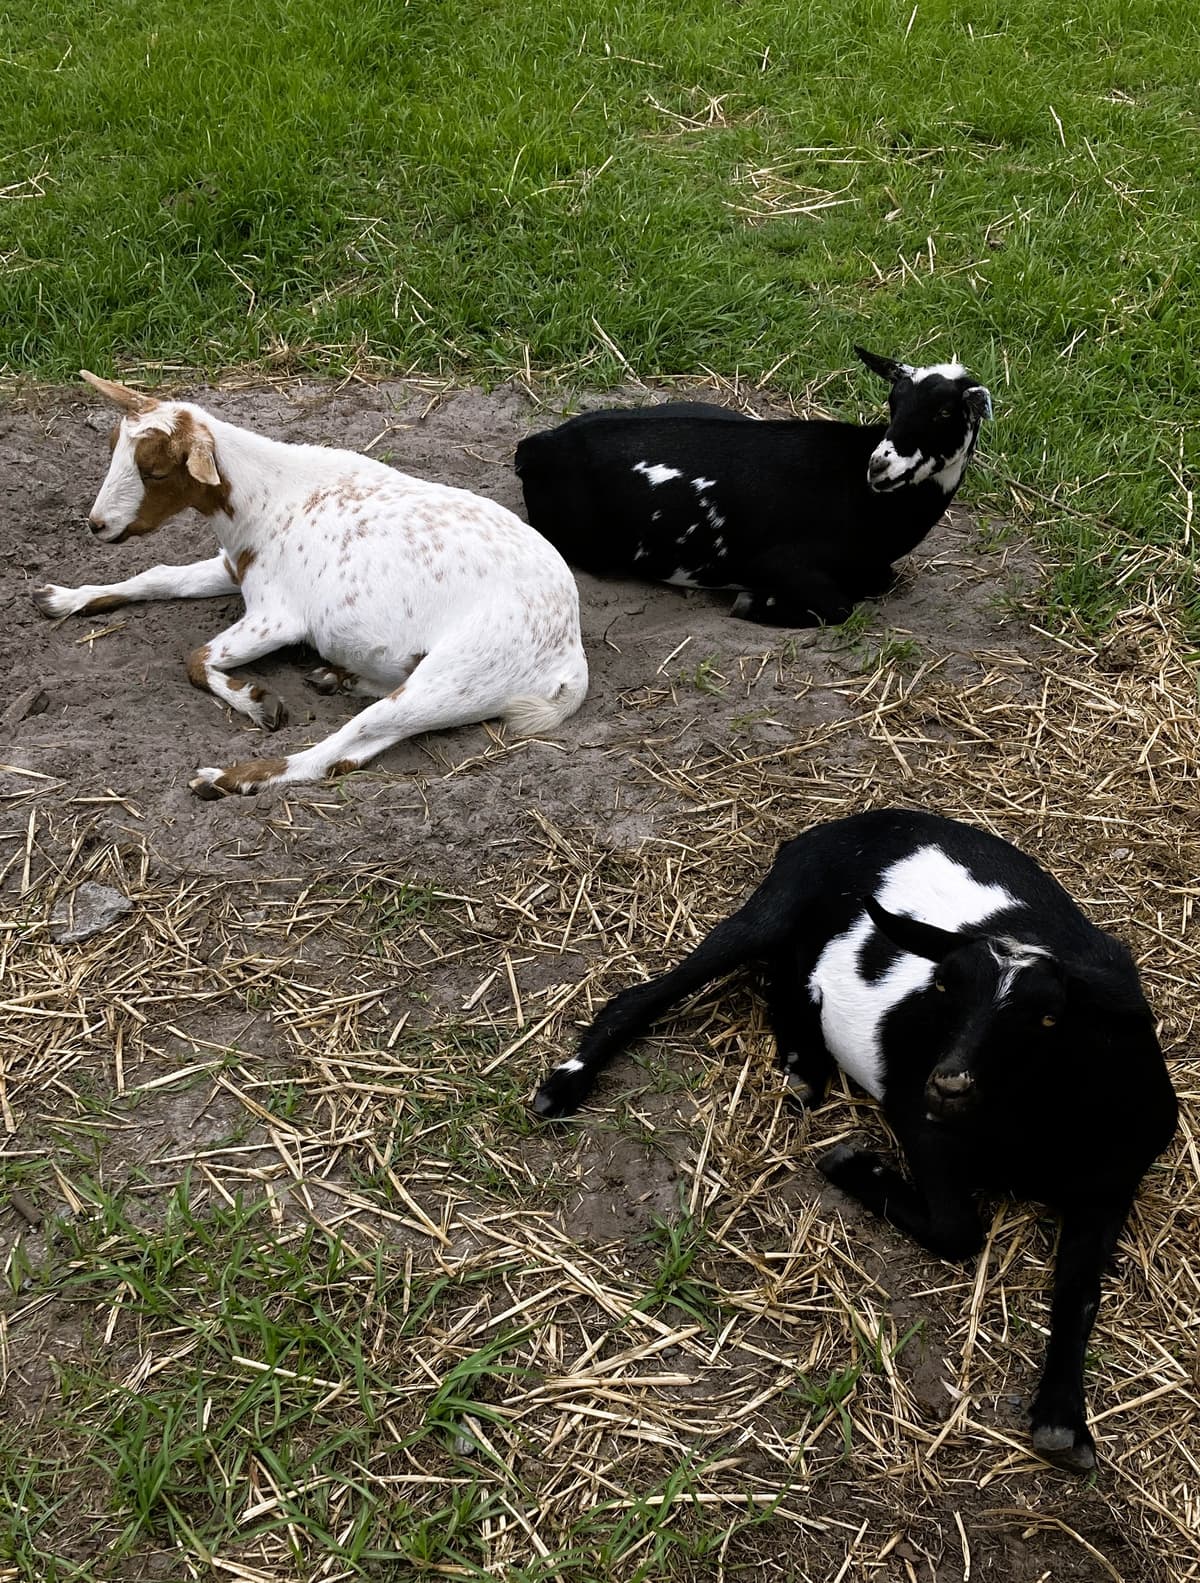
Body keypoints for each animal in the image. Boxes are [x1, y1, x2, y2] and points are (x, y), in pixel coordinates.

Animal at [33, 374, 588, 797]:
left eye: (155, 470)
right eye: (112, 450)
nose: (98, 525)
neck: (268, 497)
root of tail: (569, 657)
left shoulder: (276, 615)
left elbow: (196, 659)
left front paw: (258, 702)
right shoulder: (235, 566)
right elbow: (161, 577)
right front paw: (62, 597)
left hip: (462, 673)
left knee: (348, 744)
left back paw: (228, 777)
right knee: (365, 740)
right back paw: (338, 678)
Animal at [514, 347, 992, 627]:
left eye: (945, 412)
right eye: (894, 402)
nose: (880, 466)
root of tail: (537, 445)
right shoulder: (777, 562)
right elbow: (838, 608)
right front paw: (753, 604)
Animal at [533, 809, 1177, 1473]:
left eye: (1050, 1017)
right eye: (942, 988)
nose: (949, 1084)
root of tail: (848, 821)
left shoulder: (1111, 1182)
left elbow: (1079, 1290)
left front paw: (1062, 1421)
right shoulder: (922, 1122)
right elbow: (957, 1230)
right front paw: (852, 1164)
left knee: (789, 977)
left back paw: (803, 1063)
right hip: (776, 906)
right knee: (653, 990)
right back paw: (564, 1085)